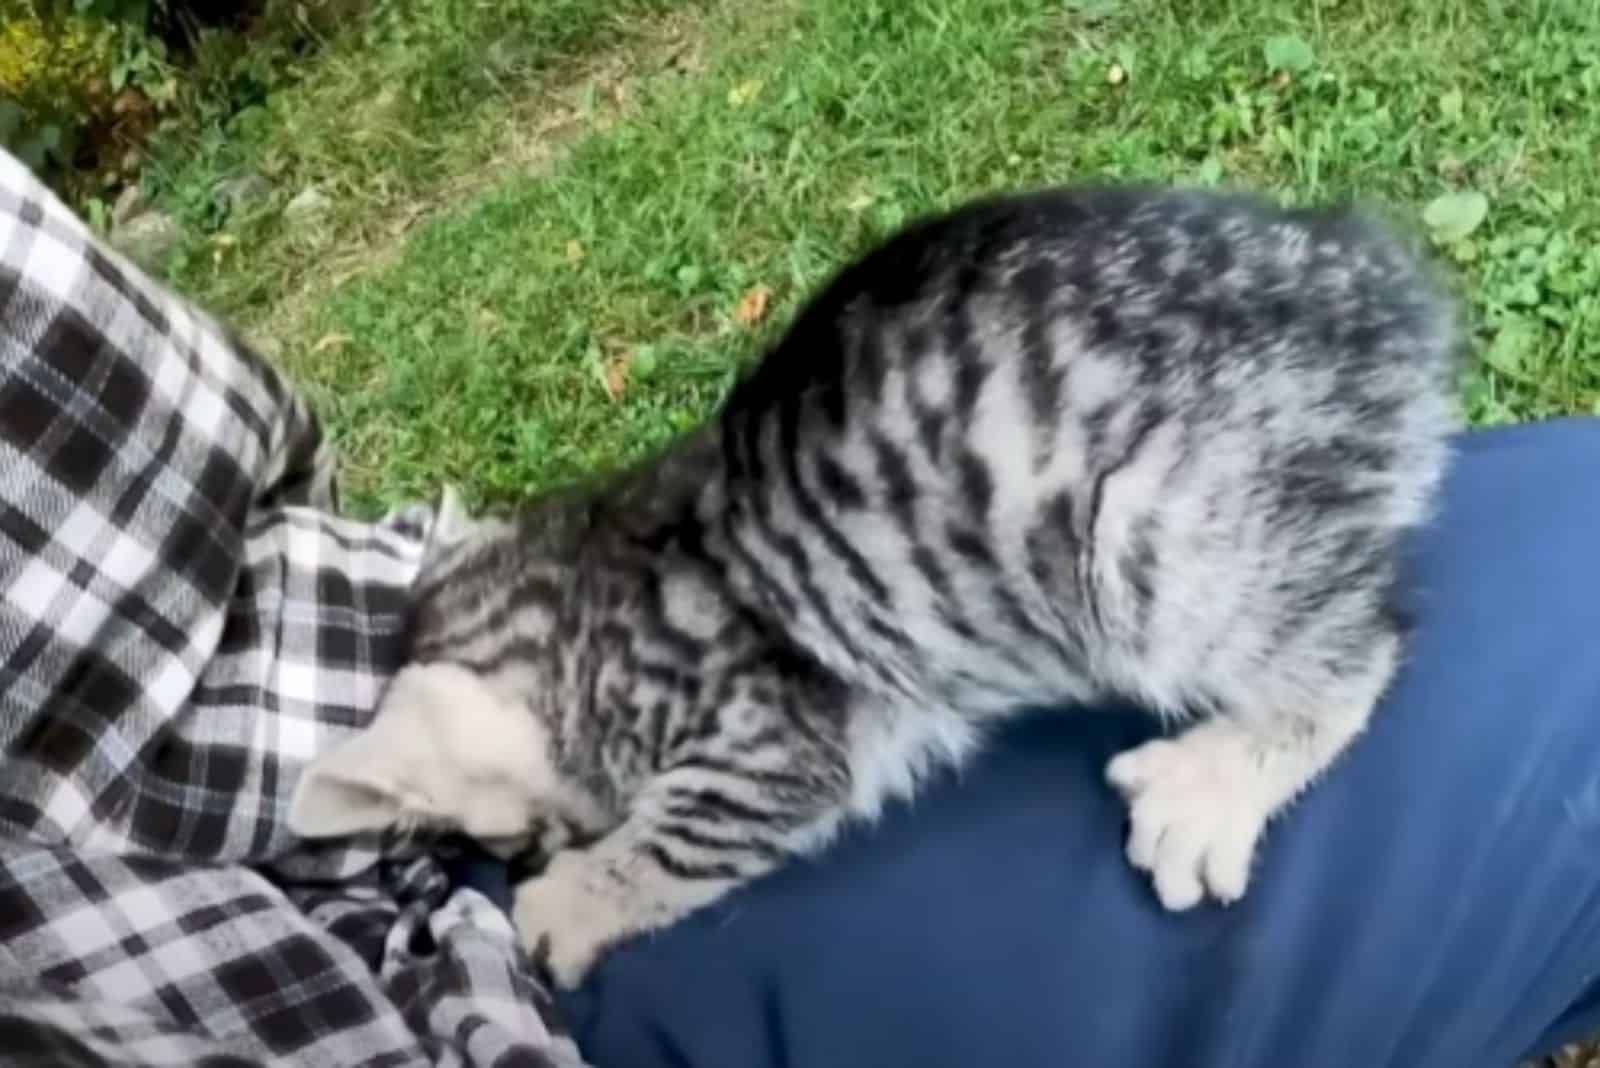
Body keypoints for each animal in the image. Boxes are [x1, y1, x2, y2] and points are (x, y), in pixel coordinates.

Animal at [288, 185, 1465, 991]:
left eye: (497, 847)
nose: (523, 854)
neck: (578, 590)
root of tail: (1372, 298)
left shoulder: (762, 740)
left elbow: (680, 838)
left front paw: (569, 903)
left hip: (1148, 543)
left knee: (1356, 649)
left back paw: (1215, 782)